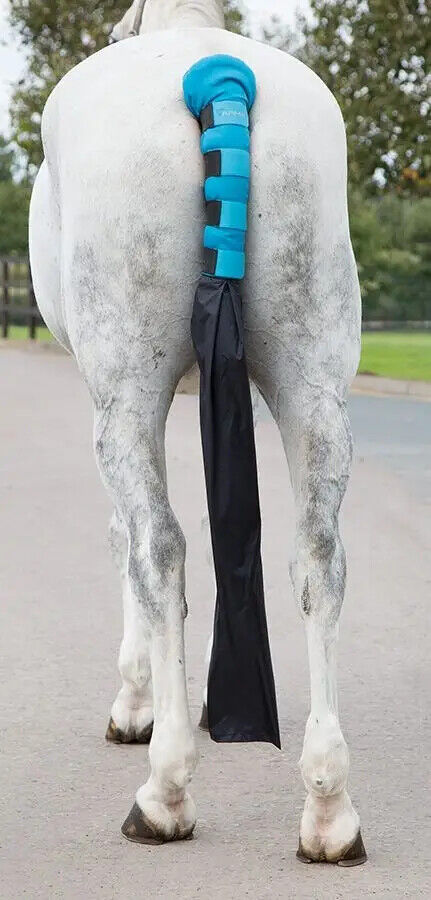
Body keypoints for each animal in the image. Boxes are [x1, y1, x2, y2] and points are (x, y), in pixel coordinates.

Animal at [29, 0, 365, 864]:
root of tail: (217, 76)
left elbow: (127, 542)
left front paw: (137, 701)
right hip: (313, 382)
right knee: (318, 557)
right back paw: (328, 810)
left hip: (125, 394)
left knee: (158, 548)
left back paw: (165, 790)